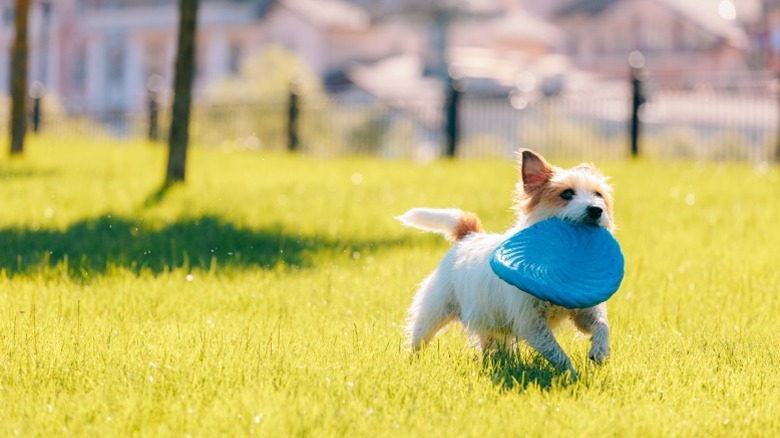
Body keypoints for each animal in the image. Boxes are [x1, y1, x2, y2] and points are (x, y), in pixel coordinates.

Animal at [400, 149, 620, 374]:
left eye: (598, 194)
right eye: (567, 194)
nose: (596, 209)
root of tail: (469, 234)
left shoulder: (584, 311)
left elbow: (602, 325)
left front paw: (599, 351)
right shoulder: (531, 322)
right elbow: (555, 351)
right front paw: (571, 375)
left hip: (489, 321)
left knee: (493, 344)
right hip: (435, 311)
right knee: (418, 337)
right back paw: (412, 361)